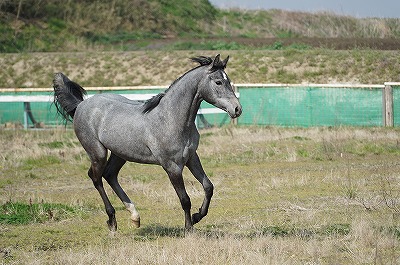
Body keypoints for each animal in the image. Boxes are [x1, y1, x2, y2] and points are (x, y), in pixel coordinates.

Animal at [52, 54, 242, 231]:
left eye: (228, 80)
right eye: (218, 82)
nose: (237, 109)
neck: (170, 118)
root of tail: (81, 105)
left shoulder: (191, 158)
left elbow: (208, 187)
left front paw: (197, 217)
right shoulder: (172, 166)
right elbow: (185, 199)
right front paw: (189, 228)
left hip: (120, 154)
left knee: (110, 175)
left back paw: (135, 217)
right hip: (97, 152)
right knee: (96, 178)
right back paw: (112, 221)